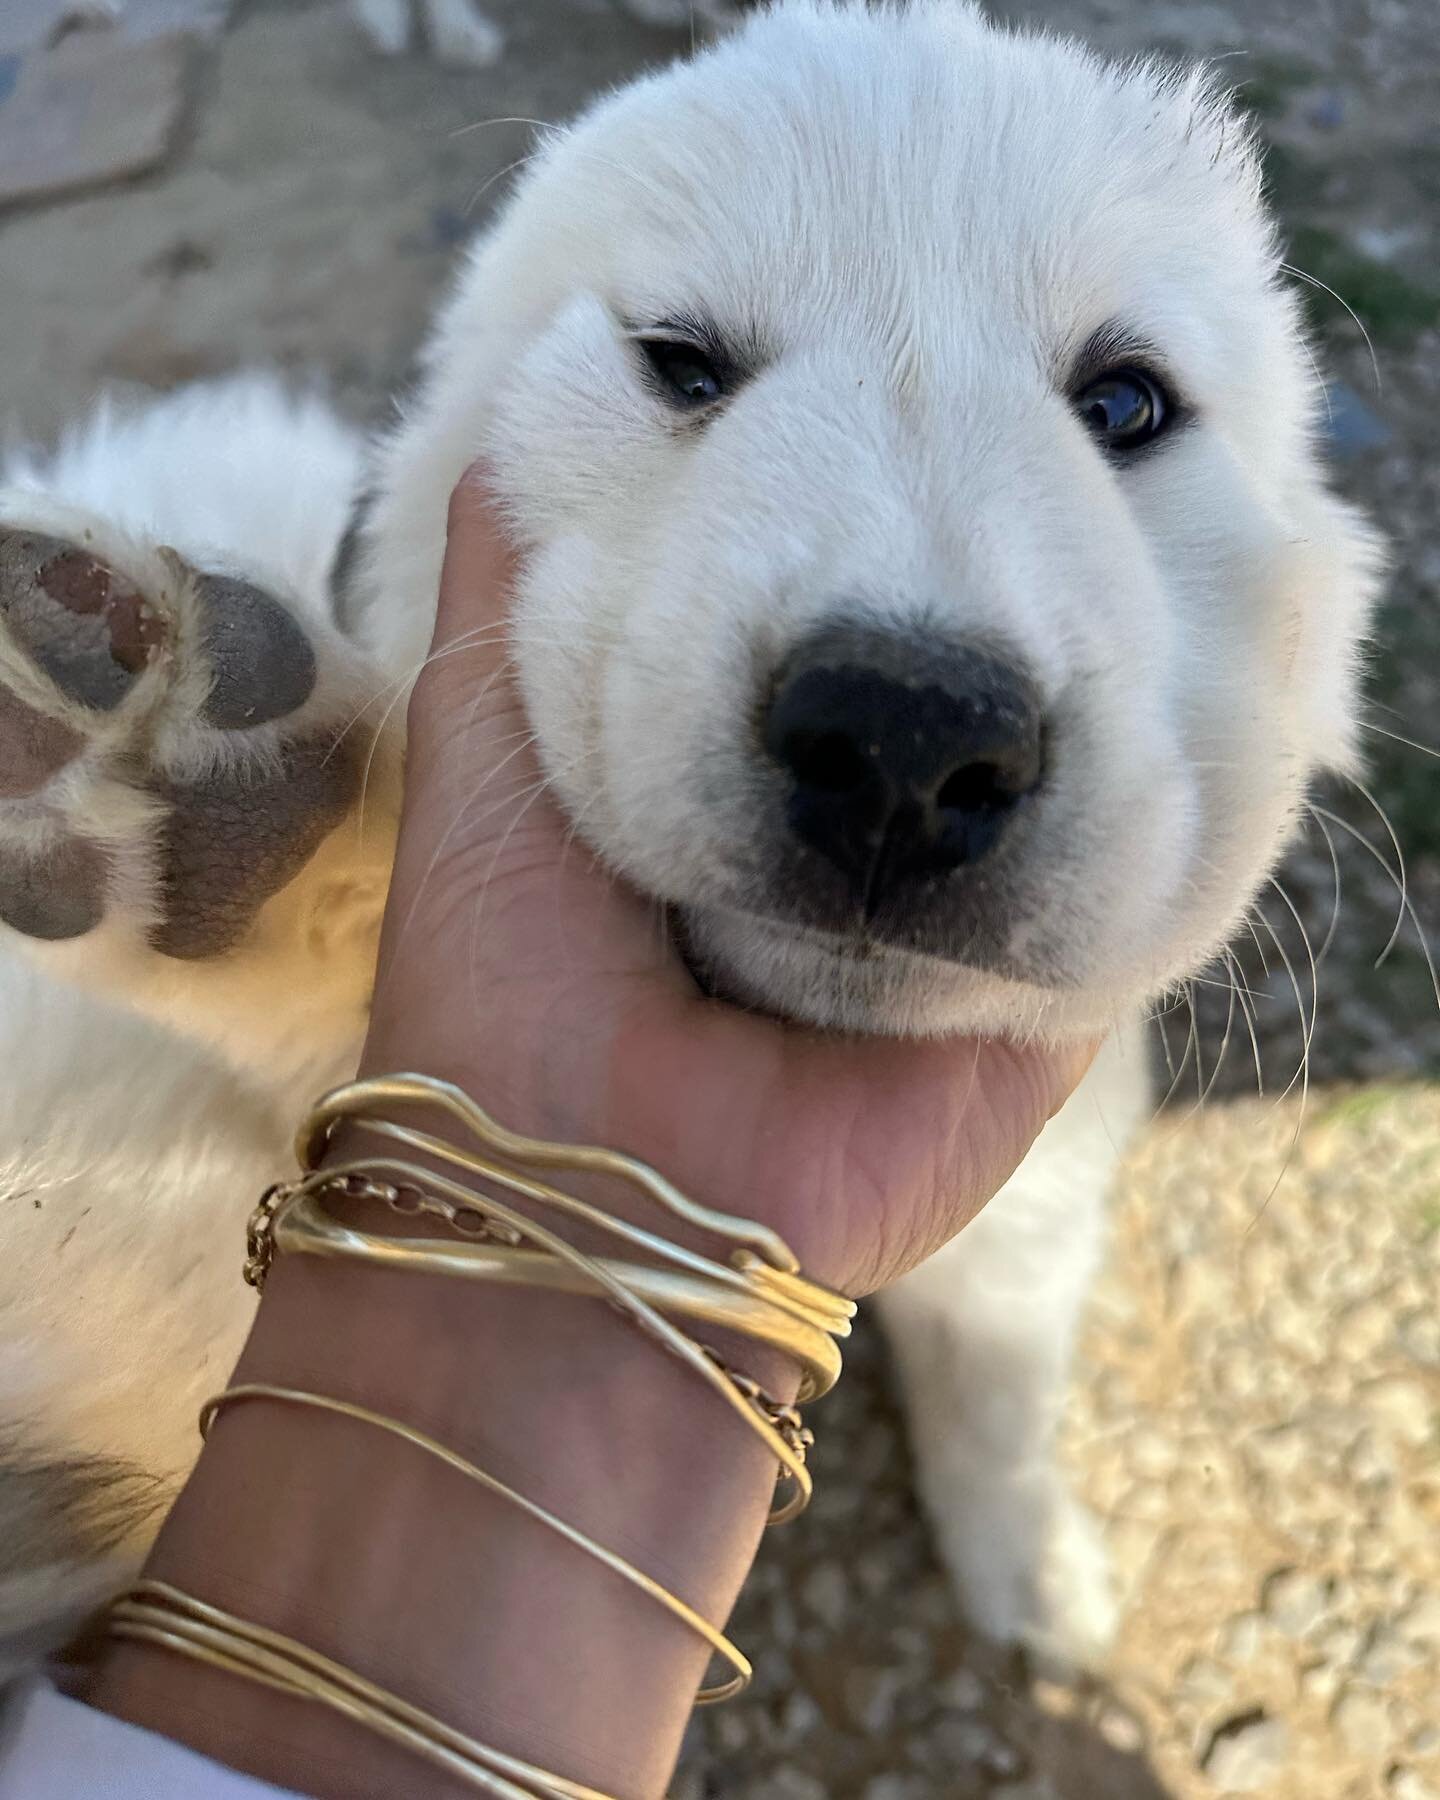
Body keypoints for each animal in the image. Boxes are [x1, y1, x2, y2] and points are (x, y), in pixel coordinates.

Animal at [0, 3, 1375, 1684]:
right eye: (682, 364)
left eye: (1126, 405)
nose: (908, 737)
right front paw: (224, 805)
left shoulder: (1042, 1178)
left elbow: (999, 1373)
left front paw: (1034, 1573)